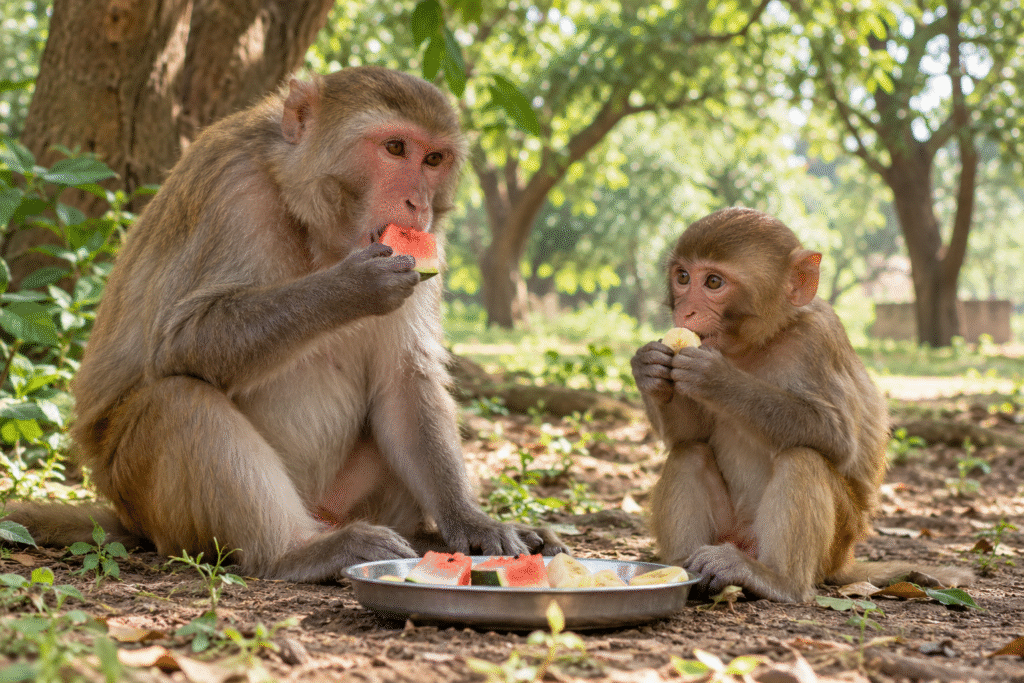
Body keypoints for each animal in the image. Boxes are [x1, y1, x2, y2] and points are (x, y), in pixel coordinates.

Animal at [5, 66, 565, 582]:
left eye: (433, 160)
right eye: (395, 147)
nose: (418, 204)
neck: (312, 223)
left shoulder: (431, 252)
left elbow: (406, 383)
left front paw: (472, 522)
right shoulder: (232, 190)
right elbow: (178, 338)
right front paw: (349, 289)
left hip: (341, 498)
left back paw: (430, 536)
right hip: (146, 497)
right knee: (179, 402)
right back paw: (296, 551)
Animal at [631, 207, 970, 602]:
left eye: (713, 282)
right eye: (683, 277)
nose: (685, 313)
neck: (759, 342)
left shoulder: (817, 341)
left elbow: (838, 438)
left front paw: (716, 378)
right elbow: (689, 434)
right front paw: (649, 368)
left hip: (833, 544)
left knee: (802, 458)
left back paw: (776, 580)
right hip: (731, 533)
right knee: (689, 453)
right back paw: (682, 571)